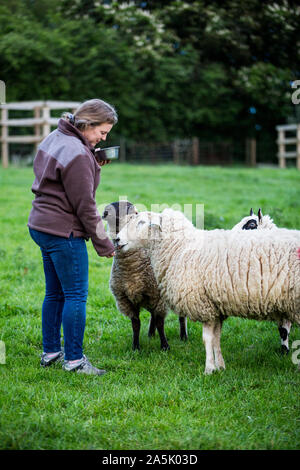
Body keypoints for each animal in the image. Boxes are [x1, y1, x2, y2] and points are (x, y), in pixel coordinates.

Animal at [102, 200, 188, 350]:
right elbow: (136, 325)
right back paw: (150, 334)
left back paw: (183, 336)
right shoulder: (126, 300)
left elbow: (160, 323)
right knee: (153, 314)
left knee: (180, 315)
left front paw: (165, 346)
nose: (104, 213)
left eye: (129, 210)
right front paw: (136, 347)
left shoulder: (158, 296)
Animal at [116, 209, 300, 374]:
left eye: (141, 222)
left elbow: (208, 339)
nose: (117, 239)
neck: (180, 247)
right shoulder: (215, 306)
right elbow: (217, 338)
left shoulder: (204, 306)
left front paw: (209, 369)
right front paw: (220, 366)